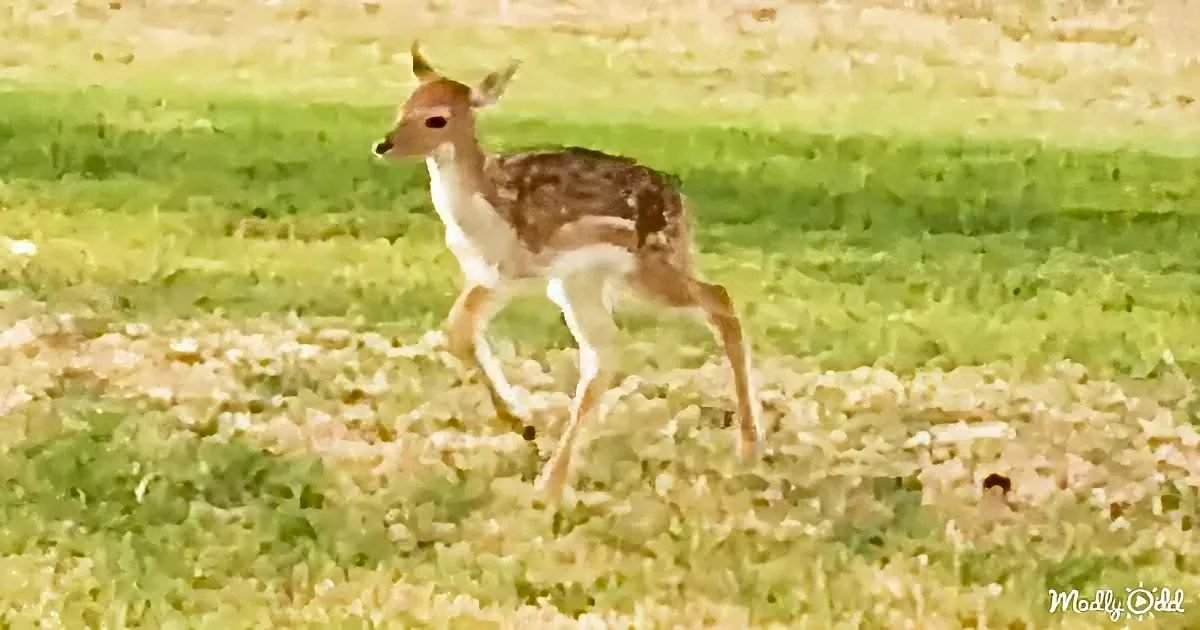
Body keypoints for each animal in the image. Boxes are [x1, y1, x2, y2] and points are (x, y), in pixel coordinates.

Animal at [372, 41, 764, 502]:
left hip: (643, 268)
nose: (383, 145)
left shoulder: (523, 269)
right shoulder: (491, 275)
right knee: (606, 355)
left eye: (437, 118)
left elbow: (462, 331)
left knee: (714, 298)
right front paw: (521, 421)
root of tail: (681, 204)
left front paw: (523, 421)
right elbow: (458, 332)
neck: (493, 212)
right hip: (589, 282)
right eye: (404, 106)